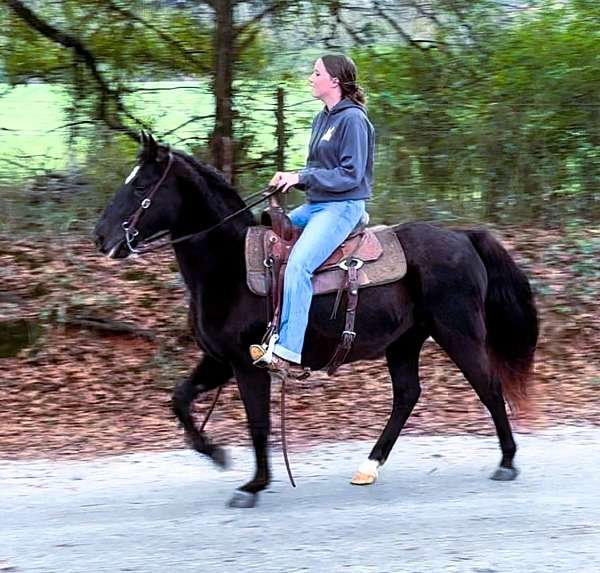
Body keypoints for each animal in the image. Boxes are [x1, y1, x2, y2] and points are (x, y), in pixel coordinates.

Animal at [95, 133, 540, 504]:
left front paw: (253, 485)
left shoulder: (246, 365)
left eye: (140, 186)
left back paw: (507, 462)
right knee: (407, 396)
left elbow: (258, 423)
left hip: (458, 334)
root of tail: (464, 237)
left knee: (489, 387)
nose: (101, 237)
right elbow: (180, 399)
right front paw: (216, 453)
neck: (228, 266)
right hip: (404, 342)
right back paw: (369, 466)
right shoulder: (219, 360)